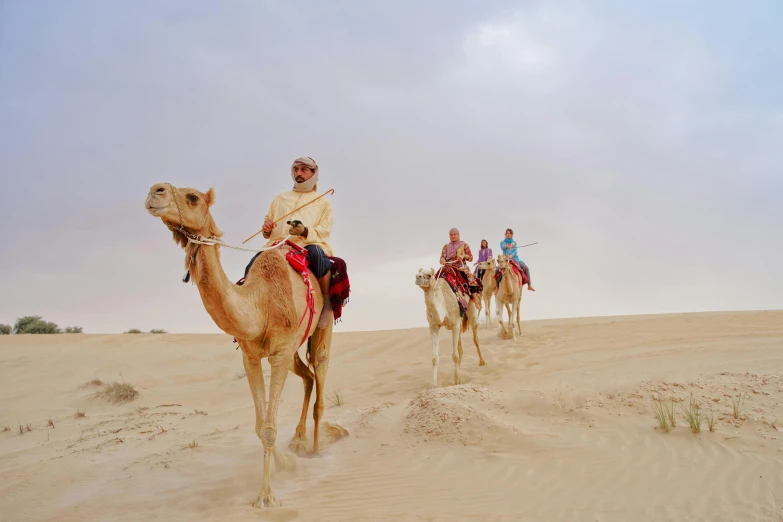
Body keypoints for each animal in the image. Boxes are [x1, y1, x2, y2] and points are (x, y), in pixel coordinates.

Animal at [145, 181, 336, 506]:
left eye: (193, 197)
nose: (154, 191)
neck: (260, 303)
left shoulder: (278, 353)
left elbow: (269, 427)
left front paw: (266, 496)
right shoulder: (251, 355)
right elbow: (260, 425)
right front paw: (285, 463)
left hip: (321, 330)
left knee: (320, 379)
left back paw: (314, 450)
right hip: (294, 348)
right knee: (308, 377)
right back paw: (297, 441)